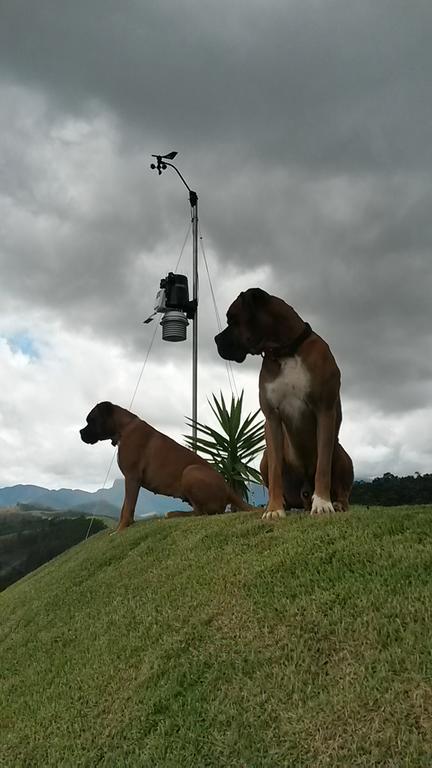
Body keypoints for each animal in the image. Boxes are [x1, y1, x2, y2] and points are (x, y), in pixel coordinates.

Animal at [79, 402, 251, 536]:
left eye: (91, 420)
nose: (80, 432)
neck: (124, 428)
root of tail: (228, 487)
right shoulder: (131, 481)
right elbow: (125, 507)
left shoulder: (132, 477)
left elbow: (127, 507)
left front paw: (121, 529)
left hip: (190, 471)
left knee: (200, 513)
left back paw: (176, 514)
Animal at [214, 290, 352, 520]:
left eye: (232, 320)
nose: (216, 339)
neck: (286, 351)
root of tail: (304, 493)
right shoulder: (272, 418)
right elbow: (276, 470)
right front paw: (274, 509)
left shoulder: (325, 411)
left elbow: (323, 466)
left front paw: (322, 504)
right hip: (264, 457)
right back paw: (285, 504)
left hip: (341, 453)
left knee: (342, 490)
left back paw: (337, 503)